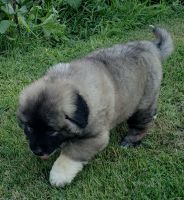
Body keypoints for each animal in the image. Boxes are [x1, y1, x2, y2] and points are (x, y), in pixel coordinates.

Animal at [16, 26, 173, 186]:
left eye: (51, 131)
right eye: (29, 128)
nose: (37, 151)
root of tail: (152, 47)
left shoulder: (95, 137)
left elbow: (72, 152)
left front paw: (59, 174)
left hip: (143, 101)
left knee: (140, 124)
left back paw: (131, 140)